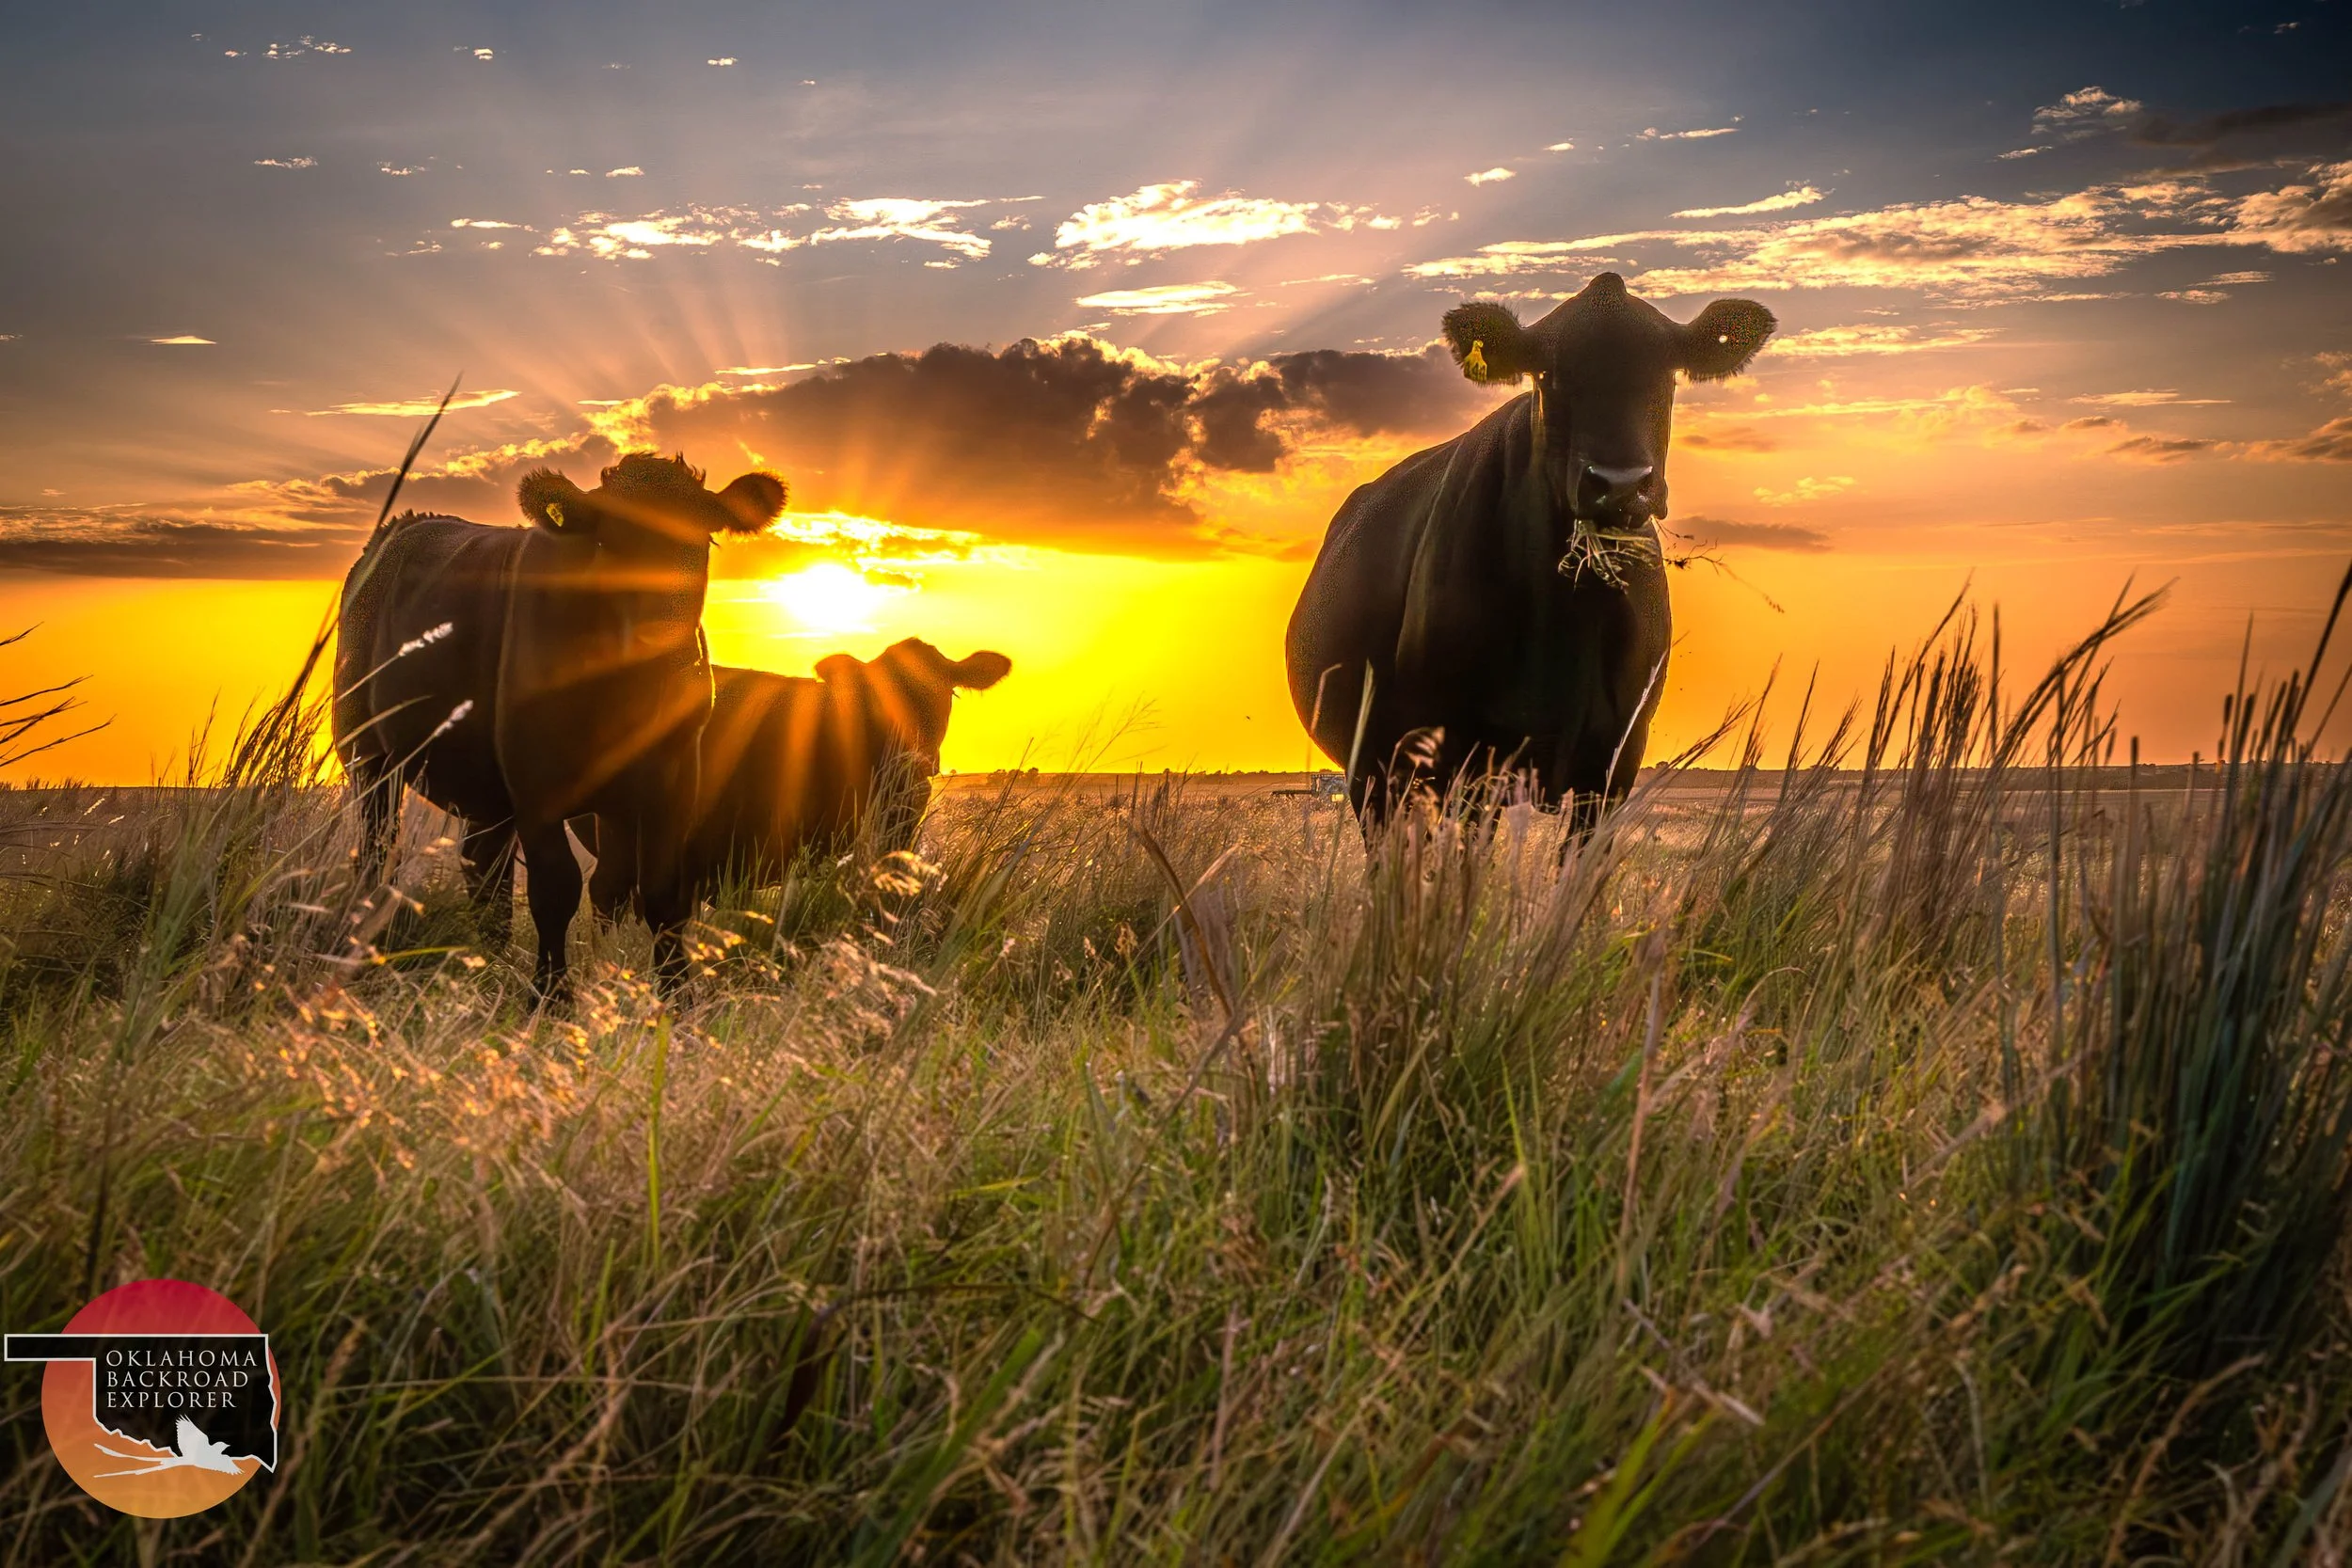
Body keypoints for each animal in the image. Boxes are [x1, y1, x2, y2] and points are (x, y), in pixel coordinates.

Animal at [333, 452, 789, 999]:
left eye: (703, 538)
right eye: (607, 541)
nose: (658, 629)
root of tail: (404, 525)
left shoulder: (672, 782)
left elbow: (657, 893)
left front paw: (676, 997)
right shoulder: (537, 783)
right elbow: (556, 889)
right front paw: (551, 997)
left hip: (488, 790)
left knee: (485, 871)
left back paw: (494, 966)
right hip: (368, 755)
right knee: (378, 852)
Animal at [1284, 272, 1774, 829]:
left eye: (1667, 374)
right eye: (1548, 375)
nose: (1620, 483)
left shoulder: (1612, 764)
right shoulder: (1464, 758)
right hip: (1374, 775)